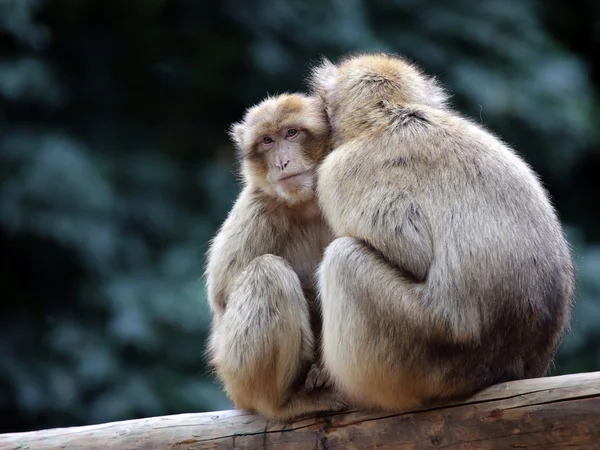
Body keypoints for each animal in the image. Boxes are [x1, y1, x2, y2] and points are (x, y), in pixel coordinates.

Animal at [204, 93, 344, 420]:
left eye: (291, 133)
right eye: (267, 140)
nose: (282, 161)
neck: (306, 204)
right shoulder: (257, 208)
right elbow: (222, 296)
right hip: (235, 376)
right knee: (267, 272)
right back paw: (283, 403)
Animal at [308, 52, 576, 412]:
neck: (390, 115)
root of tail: (508, 366)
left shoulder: (336, 172)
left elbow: (412, 250)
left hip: (425, 351)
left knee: (344, 259)